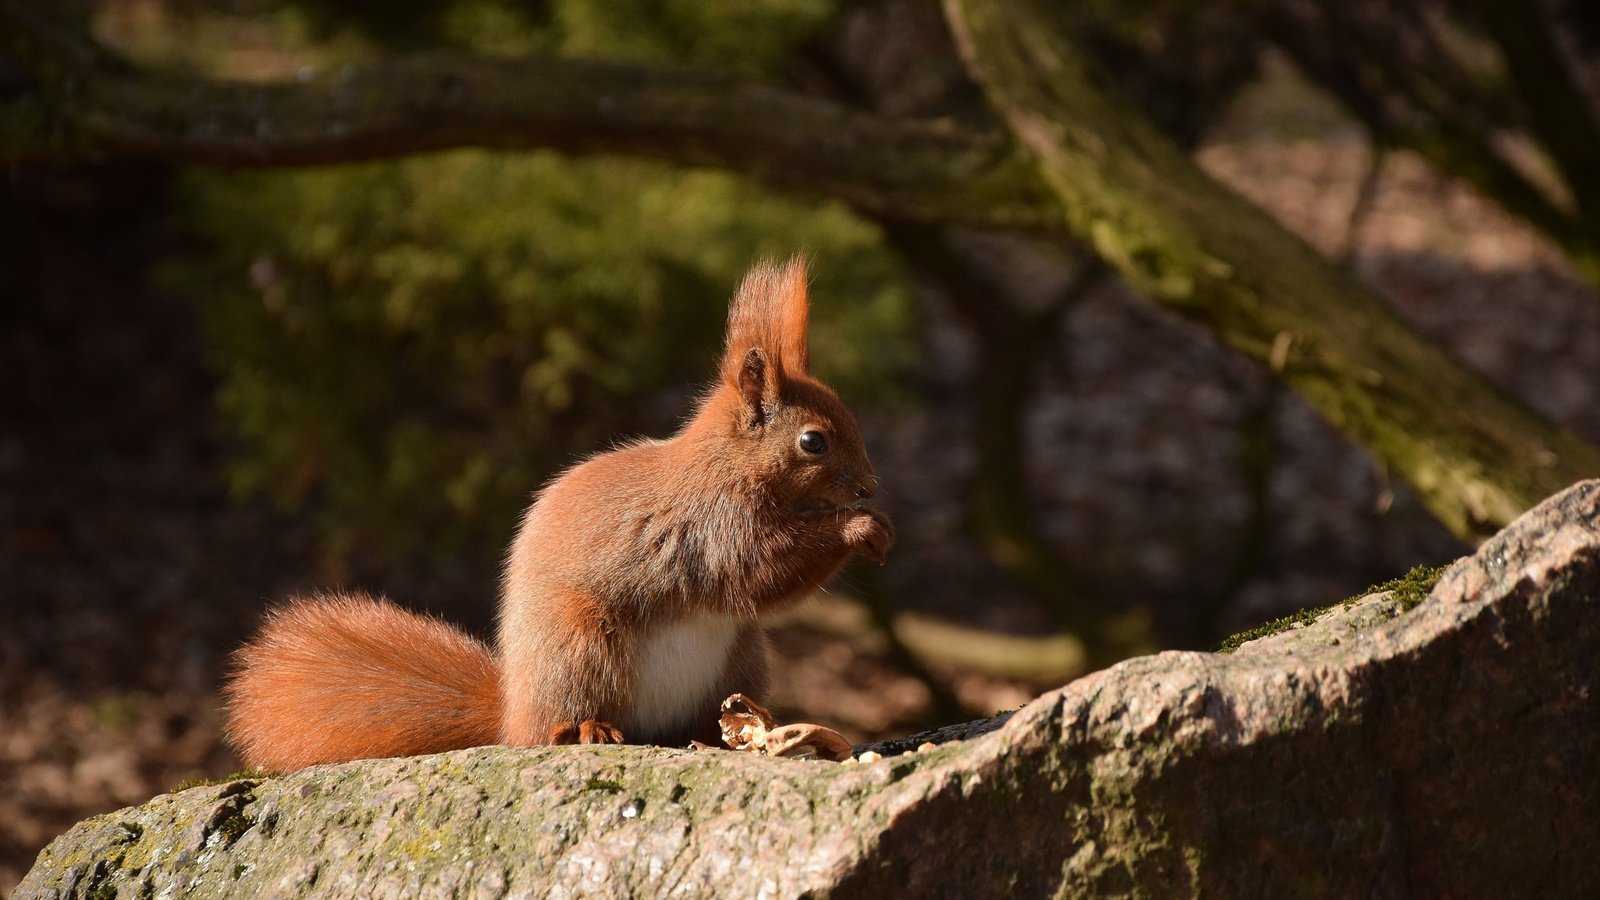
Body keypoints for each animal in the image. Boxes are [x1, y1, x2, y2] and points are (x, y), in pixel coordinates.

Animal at [224, 259, 896, 771]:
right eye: (813, 441)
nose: (869, 487)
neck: (724, 466)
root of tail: (512, 715)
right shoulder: (711, 528)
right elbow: (760, 572)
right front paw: (859, 528)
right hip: (582, 647)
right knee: (565, 719)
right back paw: (586, 730)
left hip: (743, 656)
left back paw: (738, 729)